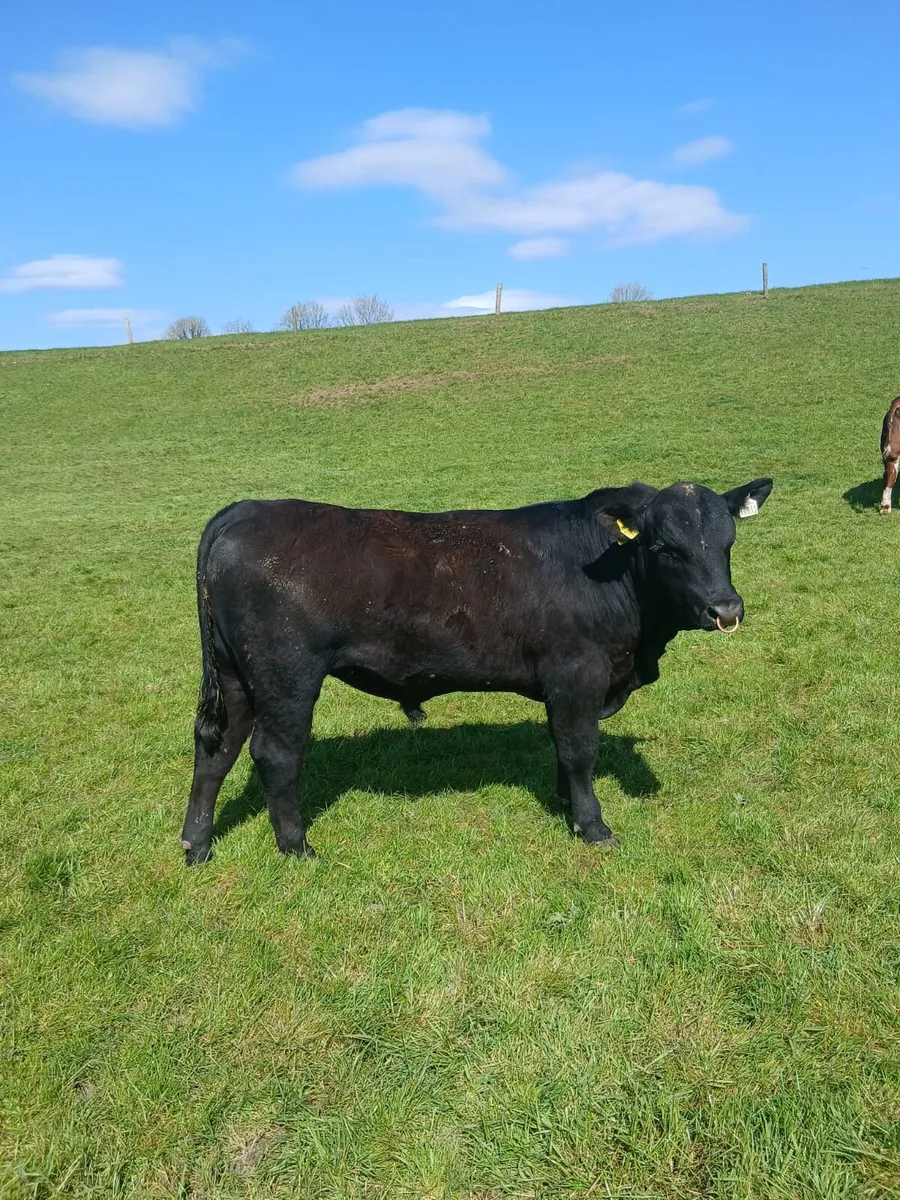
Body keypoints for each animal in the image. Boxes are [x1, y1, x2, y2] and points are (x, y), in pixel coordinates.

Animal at [180, 477, 773, 865]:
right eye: (665, 546)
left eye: (728, 542)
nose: (725, 609)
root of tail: (245, 510)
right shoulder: (577, 674)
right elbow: (580, 750)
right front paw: (593, 825)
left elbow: (562, 750)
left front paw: (566, 805)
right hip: (286, 677)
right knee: (275, 755)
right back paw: (297, 846)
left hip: (236, 678)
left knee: (216, 751)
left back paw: (197, 844)